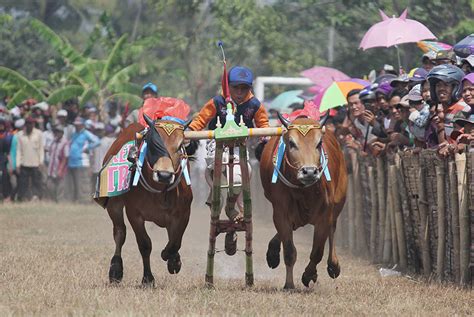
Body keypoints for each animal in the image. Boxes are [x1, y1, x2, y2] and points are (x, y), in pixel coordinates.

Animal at [95, 115, 192, 286]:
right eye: (153, 143)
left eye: (180, 145)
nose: (164, 175)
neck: (159, 191)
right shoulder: (134, 214)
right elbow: (145, 245)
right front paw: (148, 279)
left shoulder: (184, 213)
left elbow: (175, 241)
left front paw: (173, 260)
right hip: (114, 206)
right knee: (119, 233)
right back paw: (115, 269)